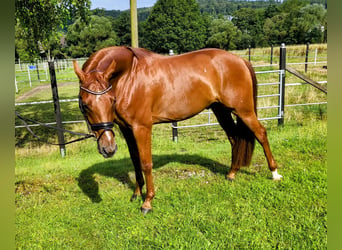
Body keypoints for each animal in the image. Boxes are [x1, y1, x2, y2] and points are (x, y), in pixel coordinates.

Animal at [73, 46, 282, 214]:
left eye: (111, 100)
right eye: (85, 105)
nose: (108, 149)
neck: (129, 75)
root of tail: (240, 60)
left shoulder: (142, 128)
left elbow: (145, 163)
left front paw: (147, 202)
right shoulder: (126, 129)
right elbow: (135, 161)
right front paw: (136, 193)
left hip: (243, 110)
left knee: (261, 133)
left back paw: (274, 173)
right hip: (221, 110)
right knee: (234, 137)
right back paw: (231, 174)